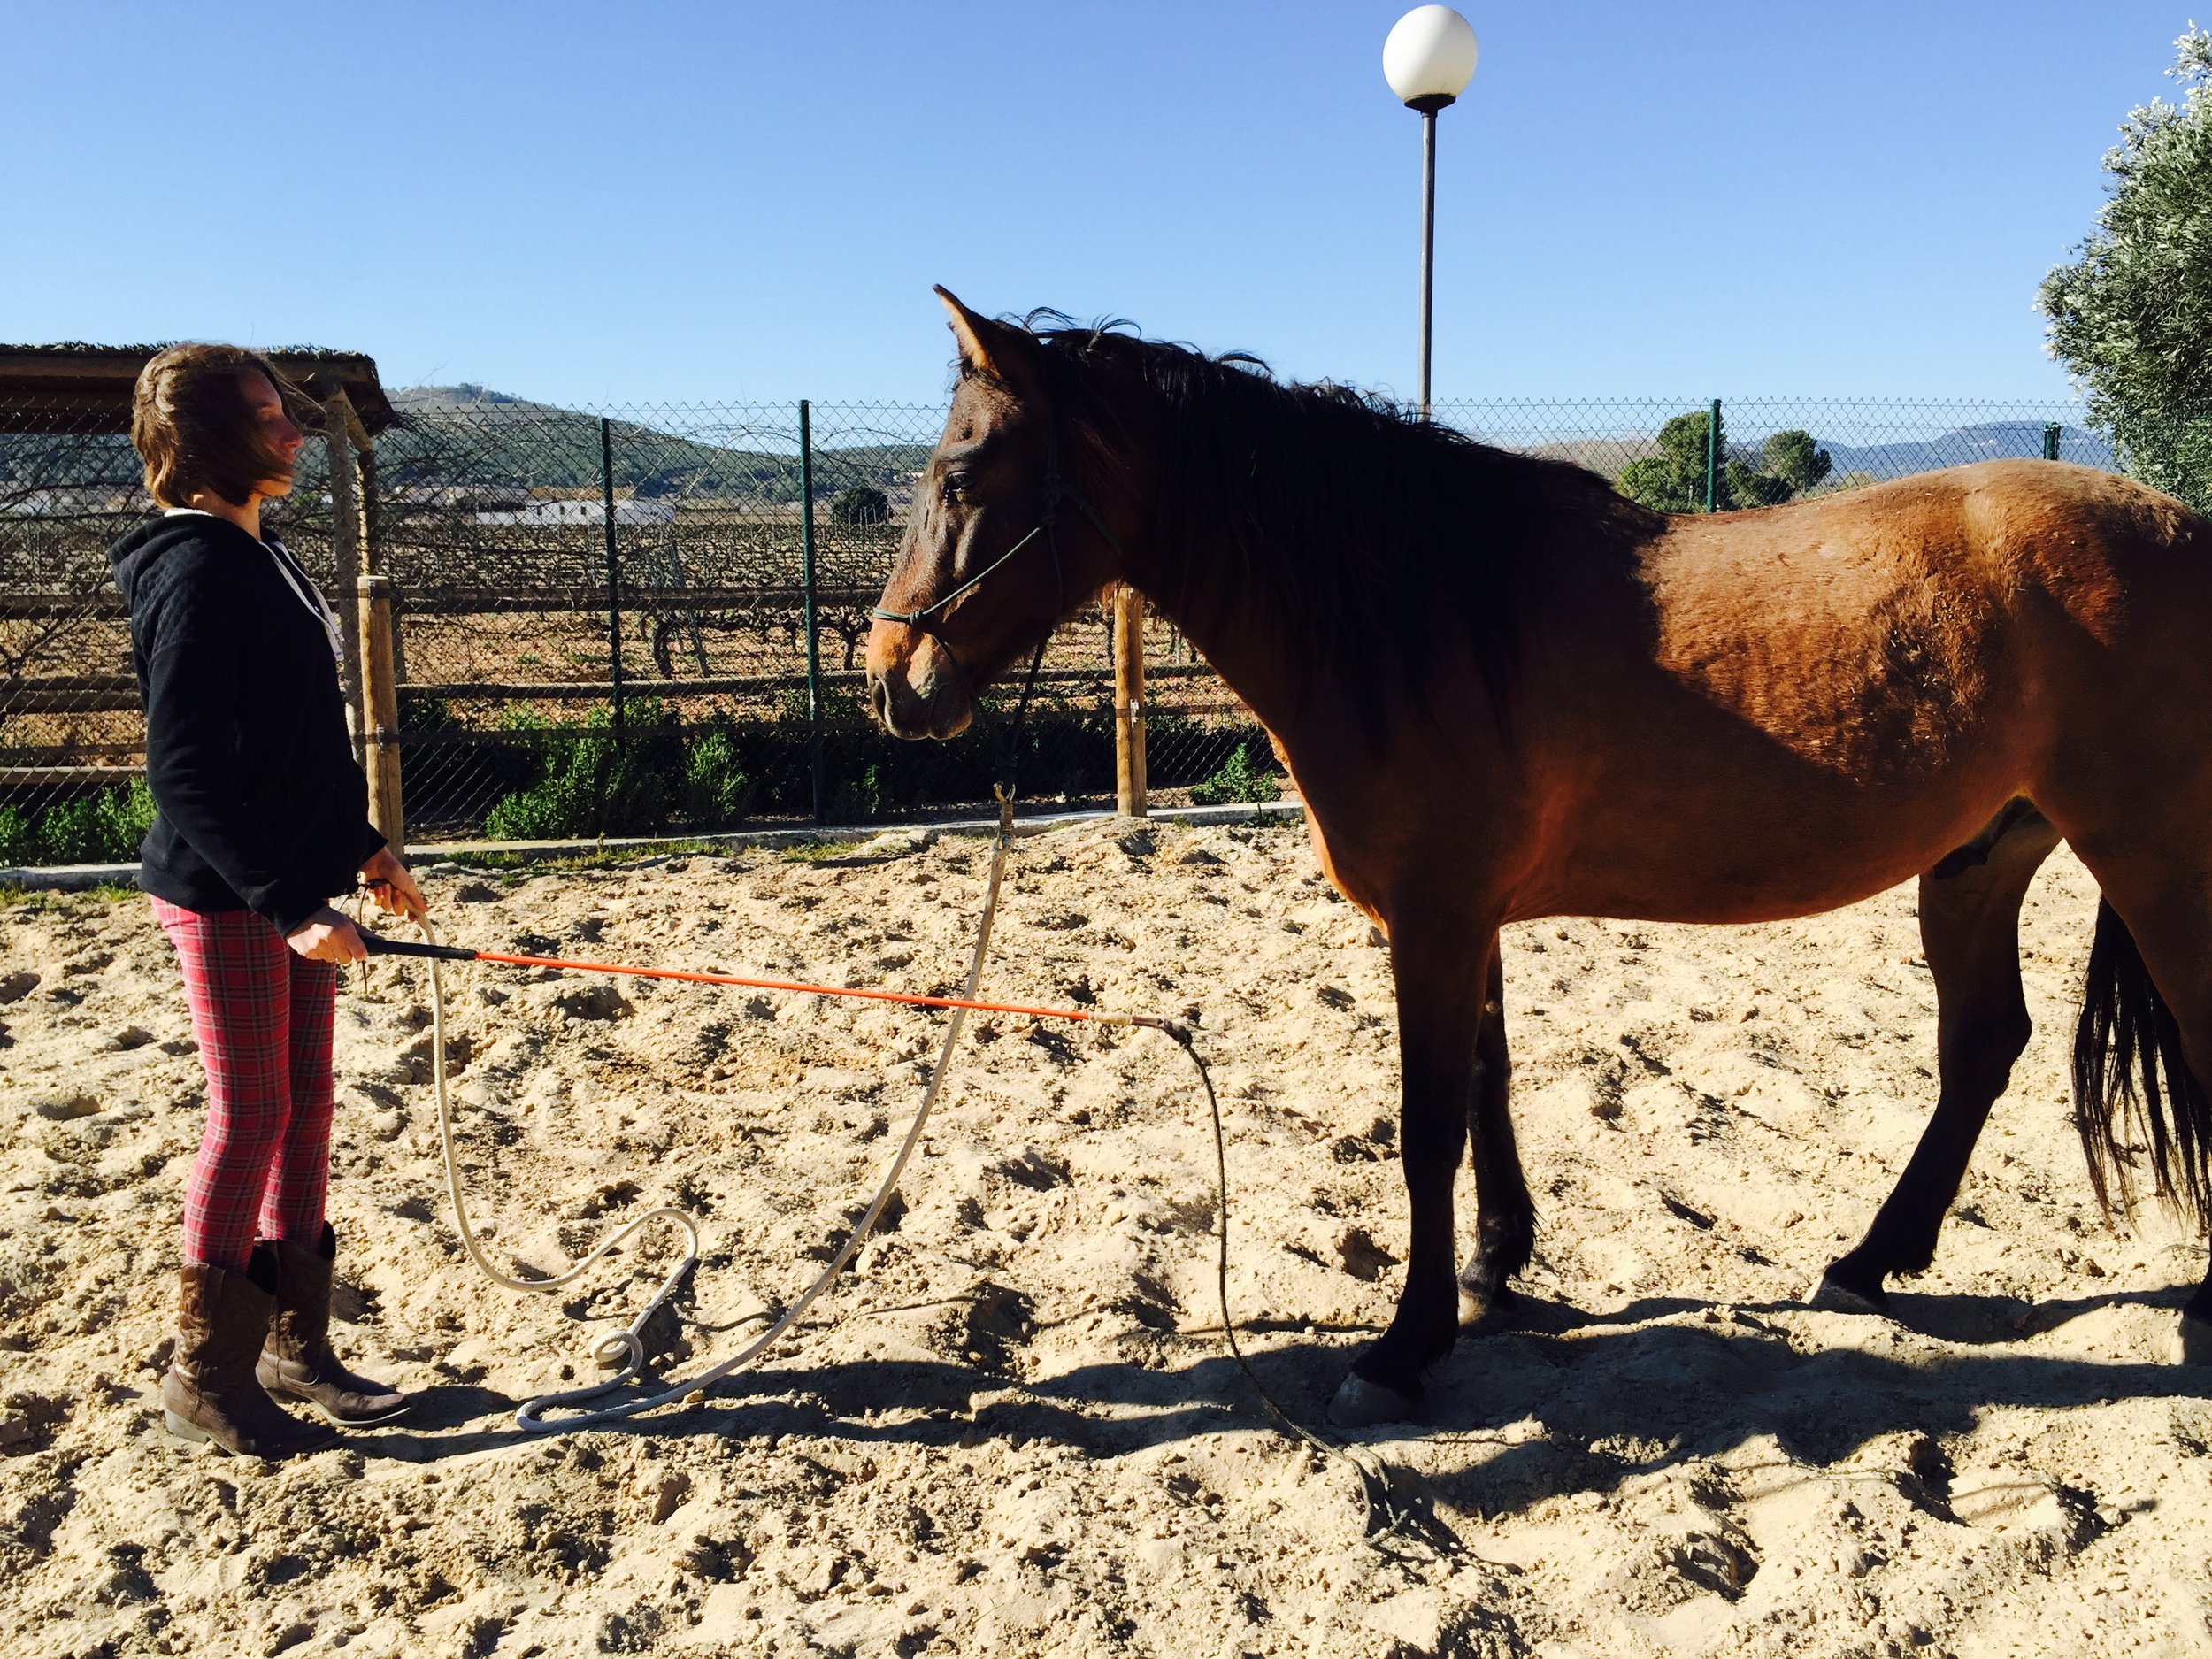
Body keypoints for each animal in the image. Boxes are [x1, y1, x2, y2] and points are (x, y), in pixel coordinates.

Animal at [865, 288, 2212, 1426]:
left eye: (961, 470)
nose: (892, 677)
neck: (1419, 611)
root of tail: (2183, 528)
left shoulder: (1437, 916)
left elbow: (1426, 1121)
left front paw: (1402, 1348)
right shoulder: (1464, 918)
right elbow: (1487, 1081)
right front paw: (1492, 1264)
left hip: (2152, 856)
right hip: (1979, 862)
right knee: (1981, 1046)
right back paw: (1871, 1259)